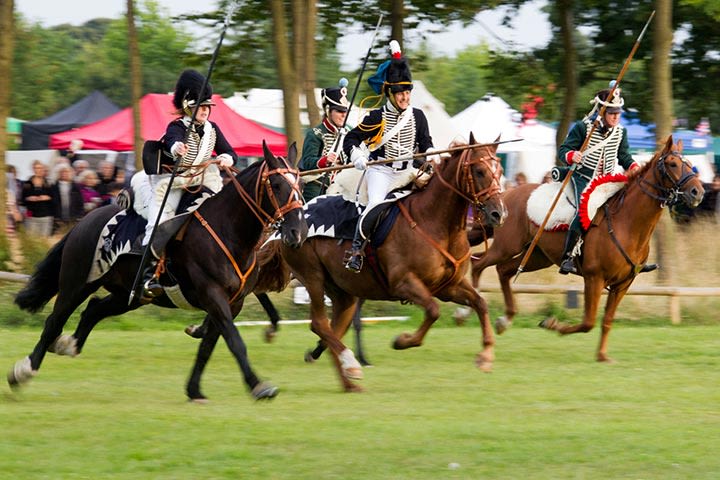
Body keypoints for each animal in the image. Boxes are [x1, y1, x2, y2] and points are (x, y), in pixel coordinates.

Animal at [9, 142, 306, 402]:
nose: (297, 232)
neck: (228, 231)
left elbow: (208, 347)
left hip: (128, 296)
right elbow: (235, 341)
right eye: (277, 185)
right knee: (55, 321)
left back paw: (68, 345)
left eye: (300, 184)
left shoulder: (232, 304)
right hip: (77, 284)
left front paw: (194, 390)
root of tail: (83, 222)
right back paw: (24, 371)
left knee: (93, 310)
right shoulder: (214, 297)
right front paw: (259, 386)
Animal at [258, 133, 506, 392]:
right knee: (318, 323)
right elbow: (433, 310)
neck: (434, 222)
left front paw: (485, 356)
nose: (498, 213)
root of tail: (288, 222)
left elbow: (480, 303)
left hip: (343, 292)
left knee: (334, 327)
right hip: (313, 278)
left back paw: (346, 377)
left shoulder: (448, 287)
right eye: (479, 171)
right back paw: (348, 365)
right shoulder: (404, 283)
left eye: (499, 169)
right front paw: (402, 340)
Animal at [470, 135, 704, 360]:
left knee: (503, 270)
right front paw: (553, 325)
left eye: (689, 164)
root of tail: (503, 197)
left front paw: (602, 355)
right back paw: (470, 308)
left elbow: (607, 320)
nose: (698, 192)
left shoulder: (622, 285)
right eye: (673, 164)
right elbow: (588, 322)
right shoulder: (594, 278)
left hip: (537, 257)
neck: (627, 223)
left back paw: (504, 320)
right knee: (478, 264)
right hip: (506, 247)